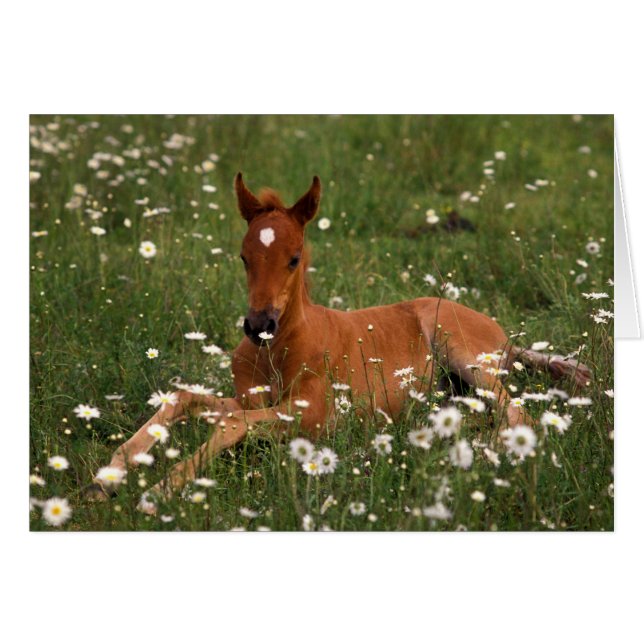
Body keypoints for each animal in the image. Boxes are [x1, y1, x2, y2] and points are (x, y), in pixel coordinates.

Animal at [87, 174, 590, 507]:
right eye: (243, 256)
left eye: (294, 258)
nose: (259, 325)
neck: (281, 348)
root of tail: (503, 336)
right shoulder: (251, 400)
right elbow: (185, 398)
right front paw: (107, 476)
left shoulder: (315, 417)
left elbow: (228, 424)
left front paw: (159, 490)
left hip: (463, 350)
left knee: (517, 414)